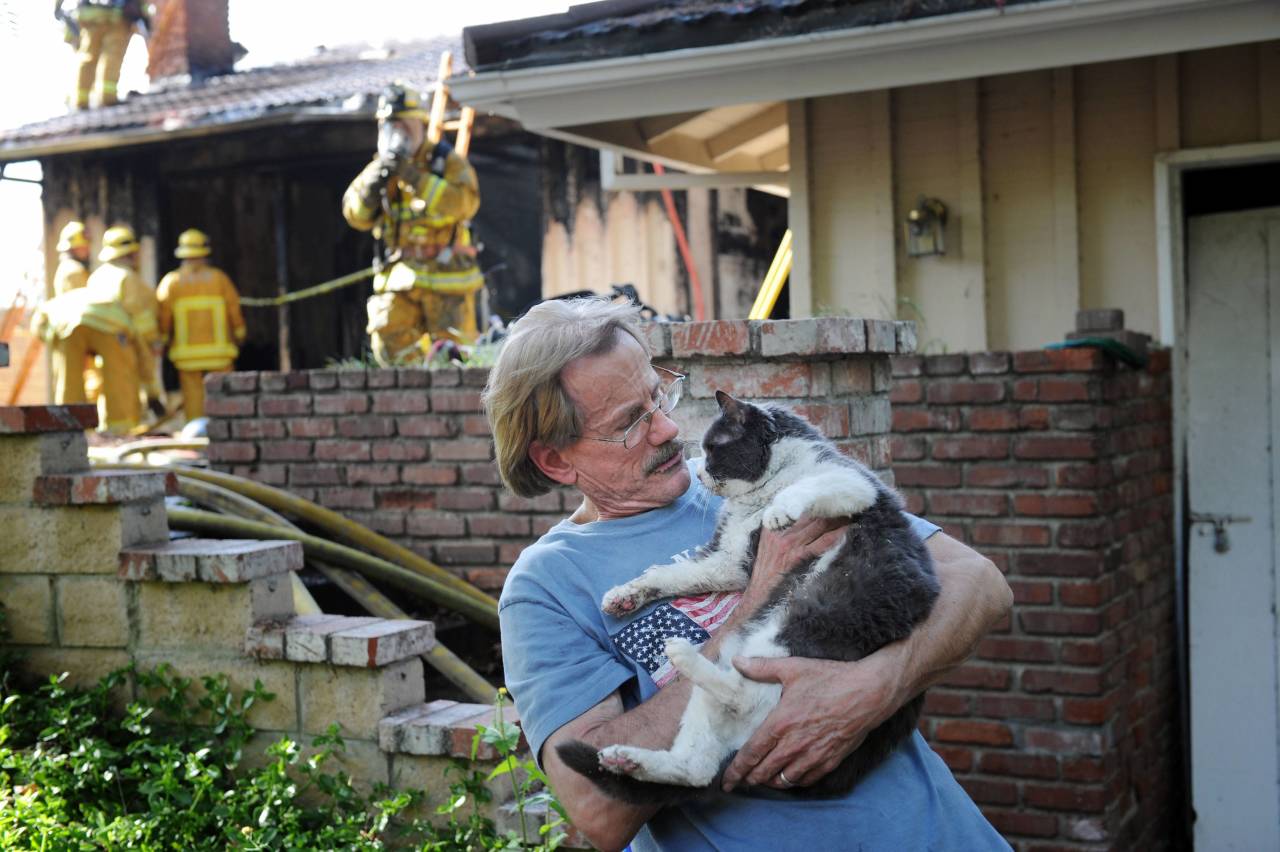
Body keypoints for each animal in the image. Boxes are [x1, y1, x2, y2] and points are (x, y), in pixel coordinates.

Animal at [558, 388, 942, 798]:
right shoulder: (730, 560)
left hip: (809, 623)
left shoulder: (855, 484)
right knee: (699, 765)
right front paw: (625, 596)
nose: (699, 472)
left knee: (745, 698)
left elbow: (809, 486)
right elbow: (675, 573)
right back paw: (629, 758)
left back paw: (683, 656)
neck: (760, 493)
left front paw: (781, 511)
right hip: (733, 669)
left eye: (713, 448)